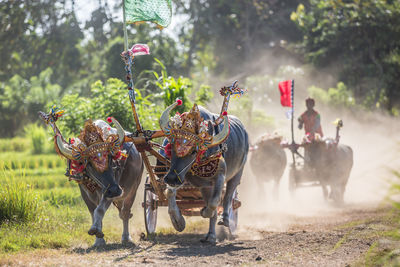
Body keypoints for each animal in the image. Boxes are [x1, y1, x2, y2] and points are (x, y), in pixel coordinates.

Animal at [38, 109, 144, 247]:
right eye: (89, 164)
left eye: (110, 158)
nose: (115, 190)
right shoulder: (86, 193)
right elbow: (93, 212)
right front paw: (98, 239)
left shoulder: (110, 189)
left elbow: (100, 209)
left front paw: (95, 230)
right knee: (122, 211)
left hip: (133, 189)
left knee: (125, 213)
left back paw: (126, 238)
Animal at [159, 99, 247, 244]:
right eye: (171, 146)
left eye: (194, 151)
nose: (170, 178)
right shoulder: (179, 175)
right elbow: (170, 192)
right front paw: (178, 221)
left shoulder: (220, 176)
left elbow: (214, 203)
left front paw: (203, 211)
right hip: (205, 186)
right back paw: (210, 235)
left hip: (237, 173)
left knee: (228, 197)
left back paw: (224, 221)